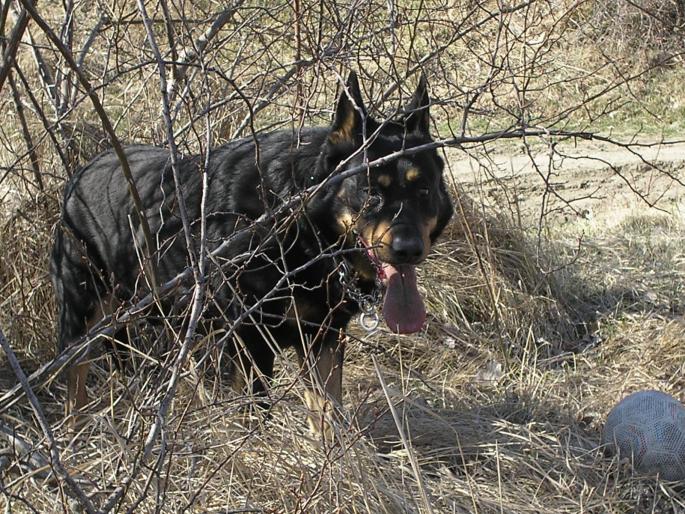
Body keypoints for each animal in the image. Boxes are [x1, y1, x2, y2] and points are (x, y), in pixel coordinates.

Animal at [49, 71, 454, 432]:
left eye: (424, 190)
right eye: (371, 192)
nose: (408, 250)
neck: (300, 226)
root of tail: (82, 172)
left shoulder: (322, 338)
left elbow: (327, 417)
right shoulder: (248, 342)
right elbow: (254, 416)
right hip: (83, 314)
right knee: (73, 384)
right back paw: (71, 438)